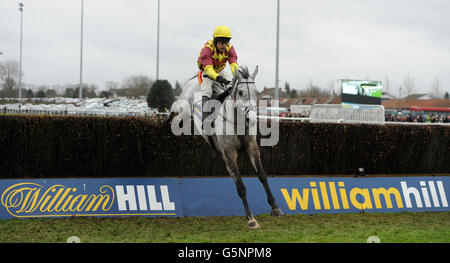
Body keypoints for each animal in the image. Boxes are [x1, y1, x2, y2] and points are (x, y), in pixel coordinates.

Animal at [171, 66, 284, 229]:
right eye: (241, 92)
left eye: (256, 92)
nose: (252, 119)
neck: (237, 121)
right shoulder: (229, 154)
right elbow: (241, 187)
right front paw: (251, 218)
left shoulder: (252, 148)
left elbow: (262, 176)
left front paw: (275, 208)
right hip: (184, 111)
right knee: (177, 118)